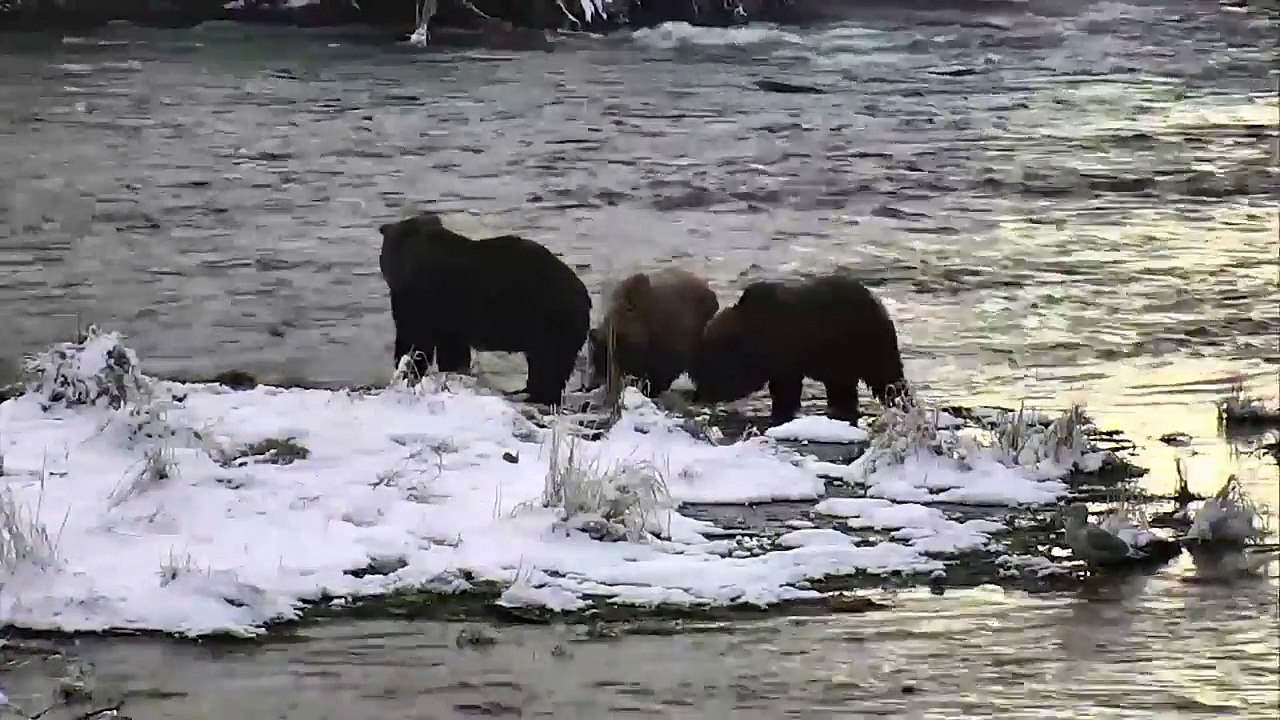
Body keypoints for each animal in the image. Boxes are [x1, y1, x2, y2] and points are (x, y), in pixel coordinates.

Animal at [378, 211, 591, 406]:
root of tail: (584, 295)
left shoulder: (424, 299)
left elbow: (416, 340)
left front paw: (408, 372)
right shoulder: (450, 317)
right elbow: (451, 349)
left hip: (549, 319)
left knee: (549, 365)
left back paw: (537, 396)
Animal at [688, 272, 909, 424]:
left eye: (708, 368)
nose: (699, 395)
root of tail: (877, 302)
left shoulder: (786, 354)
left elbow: (787, 389)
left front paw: (781, 412)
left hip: (865, 343)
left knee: (886, 376)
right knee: (843, 387)